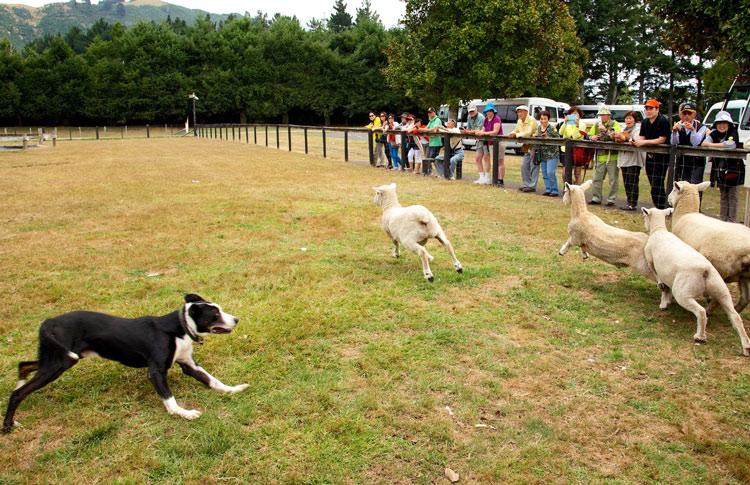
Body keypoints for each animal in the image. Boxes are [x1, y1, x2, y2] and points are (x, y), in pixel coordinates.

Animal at [644, 206, 748, 354]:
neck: (659, 230)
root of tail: (705, 270)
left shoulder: (650, 260)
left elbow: (660, 281)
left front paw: (663, 300)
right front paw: (665, 300)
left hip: (683, 293)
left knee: (701, 311)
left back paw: (700, 337)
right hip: (721, 290)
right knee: (735, 317)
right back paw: (746, 346)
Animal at [668, 180, 750, 312]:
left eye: (674, 189)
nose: (668, 198)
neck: (685, 213)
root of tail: (747, 251)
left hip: (721, 269)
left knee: (718, 297)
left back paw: (709, 309)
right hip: (744, 275)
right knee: (745, 299)